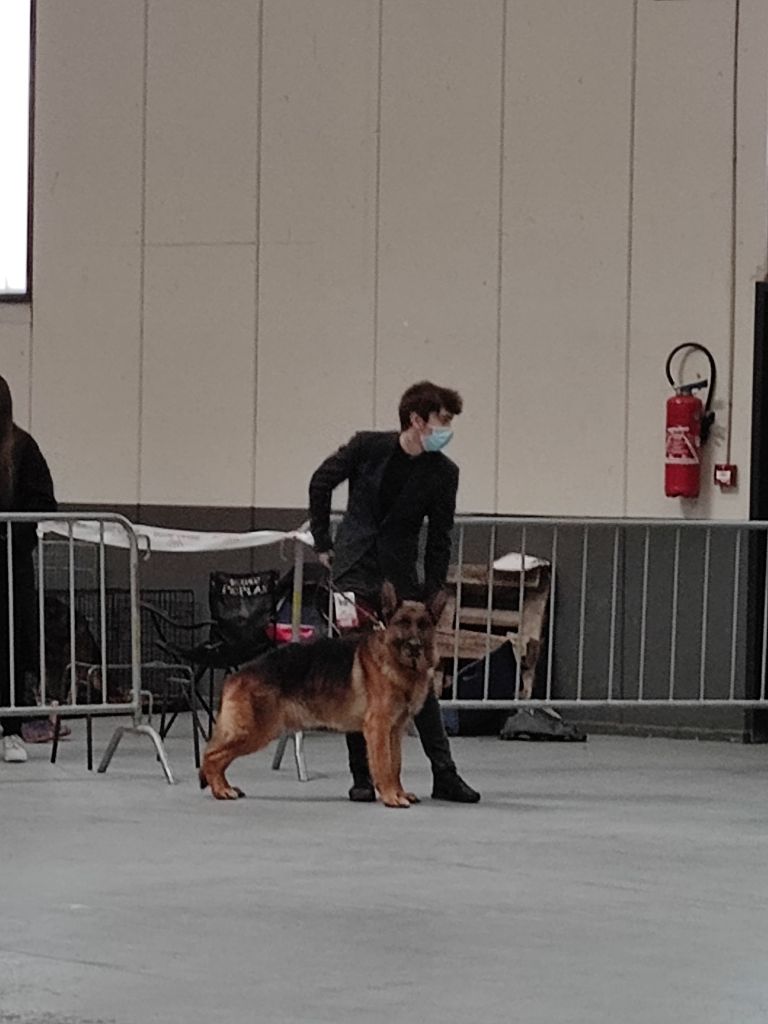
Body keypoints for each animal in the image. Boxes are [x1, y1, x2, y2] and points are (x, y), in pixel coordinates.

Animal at [200, 582, 446, 807]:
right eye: (402, 623)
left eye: (423, 625)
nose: (414, 646)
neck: (397, 664)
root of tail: (238, 674)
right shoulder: (379, 728)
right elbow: (384, 765)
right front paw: (390, 797)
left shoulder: (394, 731)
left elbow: (395, 766)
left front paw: (399, 792)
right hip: (254, 732)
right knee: (211, 757)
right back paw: (221, 790)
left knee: (217, 757)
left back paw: (225, 787)